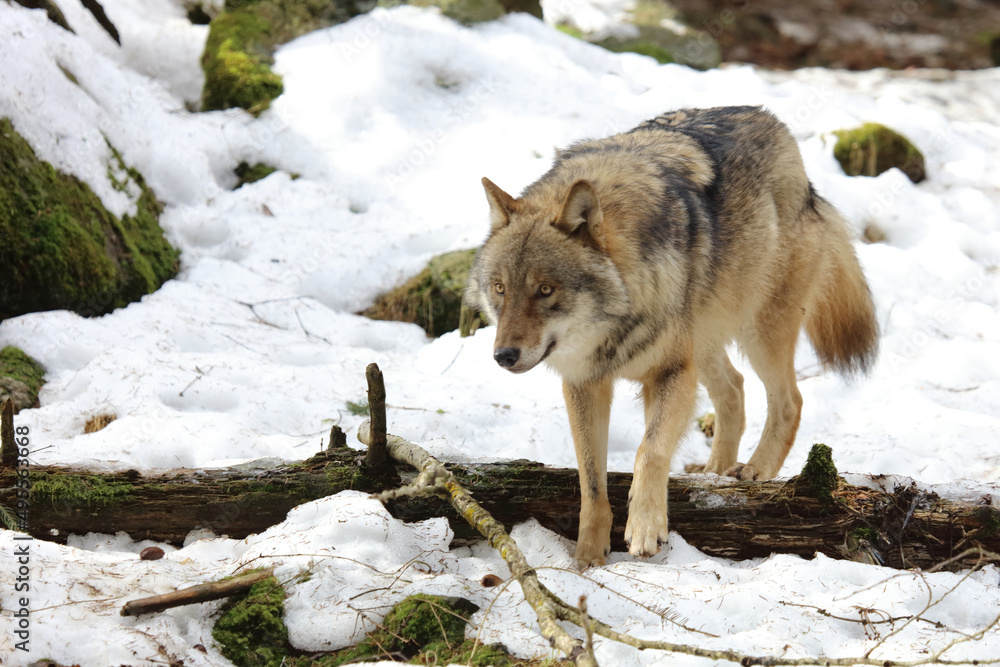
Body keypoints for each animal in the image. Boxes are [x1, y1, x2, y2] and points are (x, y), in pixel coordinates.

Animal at [464, 106, 878, 568]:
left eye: (545, 289)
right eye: (500, 288)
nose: (504, 355)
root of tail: (779, 131)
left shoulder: (671, 373)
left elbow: (650, 450)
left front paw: (646, 529)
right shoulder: (585, 384)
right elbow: (590, 479)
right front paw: (588, 557)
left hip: (757, 332)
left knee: (789, 401)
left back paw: (755, 471)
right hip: (706, 341)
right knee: (734, 389)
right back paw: (715, 473)